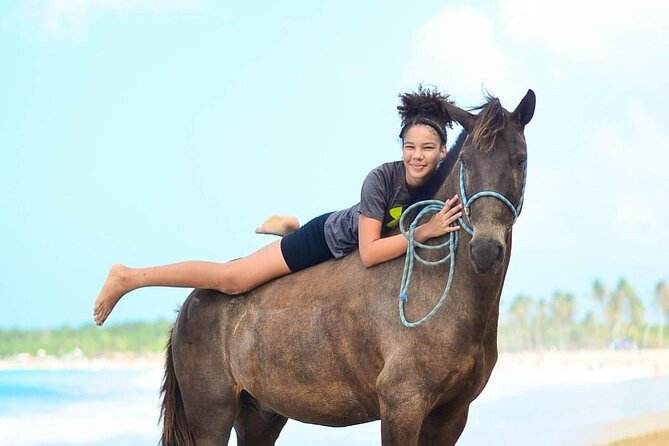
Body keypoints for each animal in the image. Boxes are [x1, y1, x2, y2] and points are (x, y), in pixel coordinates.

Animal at [159, 89, 536, 444]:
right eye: (466, 162)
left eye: (520, 160)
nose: (485, 250)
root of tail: (186, 308)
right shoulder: (402, 405)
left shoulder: (452, 415)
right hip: (212, 418)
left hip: (259, 418)